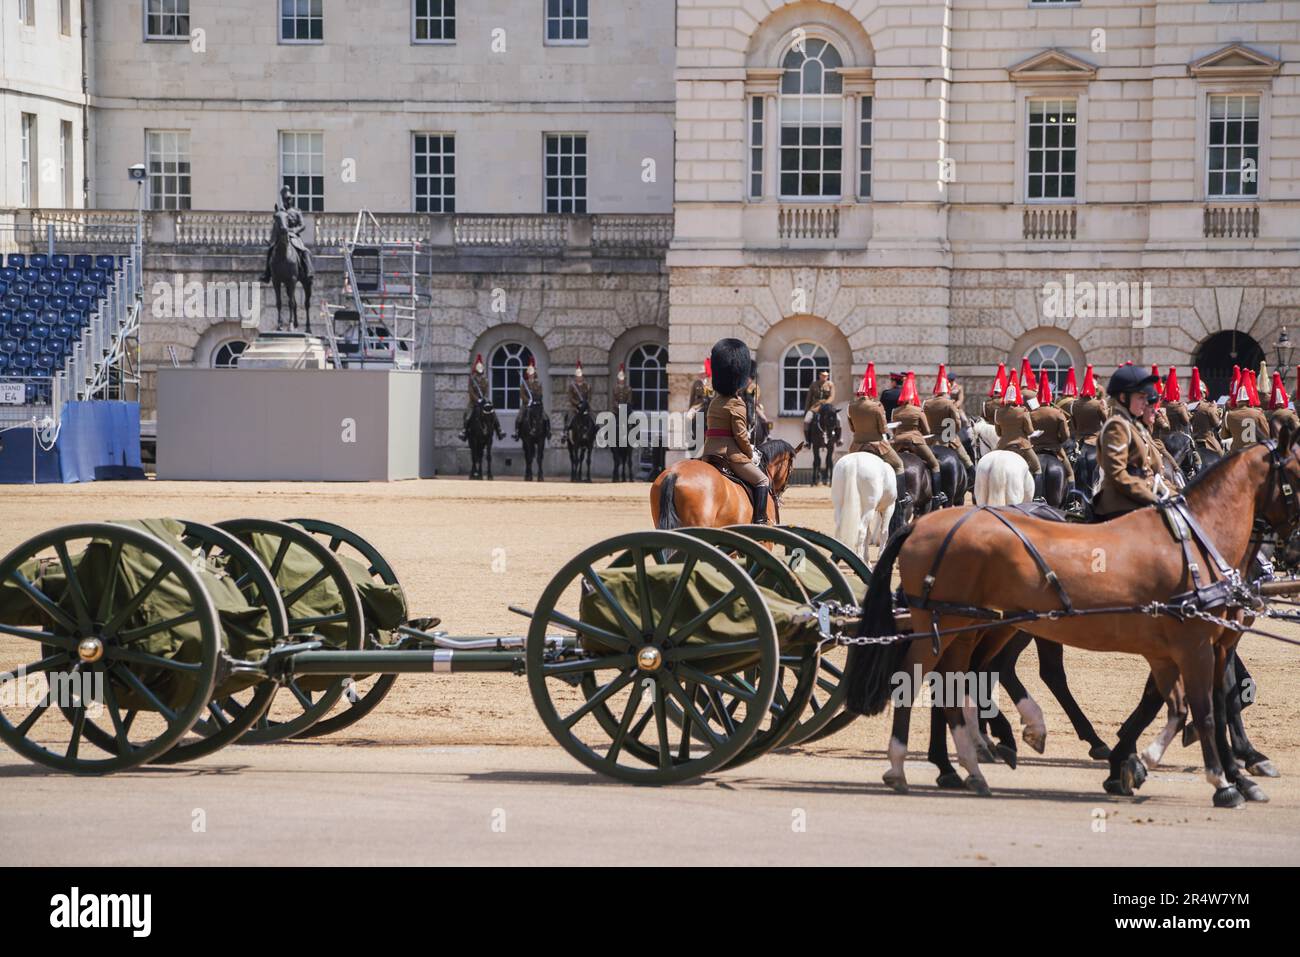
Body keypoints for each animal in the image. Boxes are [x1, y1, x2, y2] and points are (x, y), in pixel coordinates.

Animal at [842, 434, 1300, 806]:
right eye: (1296, 470)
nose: (1290, 551)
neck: (1197, 543)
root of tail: (921, 525)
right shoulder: (1193, 643)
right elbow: (1210, 703)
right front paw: (1222, 776)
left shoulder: (1193, 644)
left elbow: (1196, 701)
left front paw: (1149, 762)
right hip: (966, 624)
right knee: (940, 675)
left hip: (978, 626)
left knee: (966, 675)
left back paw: (969, 759)